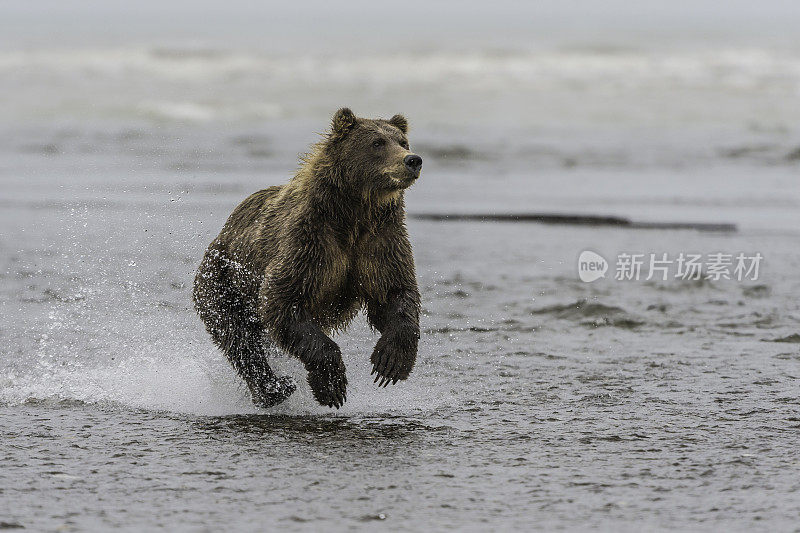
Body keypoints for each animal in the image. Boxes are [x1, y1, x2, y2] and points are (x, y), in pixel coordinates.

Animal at [193, 108, 422, 408]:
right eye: (377, 143)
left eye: (402, 141)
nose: (412, 160)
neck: (353, 214)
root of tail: (220, 235)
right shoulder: (309, 243)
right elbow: (283, 300)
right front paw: (332, 385)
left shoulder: (380, 242)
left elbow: (395, 292)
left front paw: (390, 362)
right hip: (221, 282)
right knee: (239, 339)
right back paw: (273, 389)